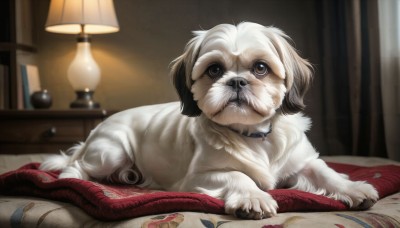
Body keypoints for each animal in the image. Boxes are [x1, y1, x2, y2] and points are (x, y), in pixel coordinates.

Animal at [40, 21, 378, 219]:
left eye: (260, 68)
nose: (237, 81)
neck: (254, 136)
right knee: (76, 166)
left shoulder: (303, 162)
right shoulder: (198, 177)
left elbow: (326, 173)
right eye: (214, 70)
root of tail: (96, 130)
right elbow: (239, 176)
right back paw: (76, 179)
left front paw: (354, 189)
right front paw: (253, 197)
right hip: (111, 152)